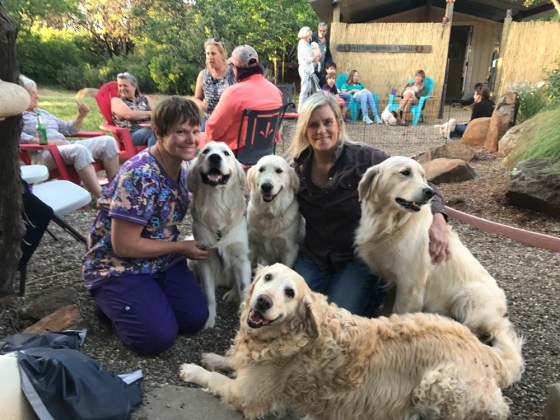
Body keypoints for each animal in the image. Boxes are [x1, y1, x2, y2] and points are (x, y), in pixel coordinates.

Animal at [180, 263, 518, 420]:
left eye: (290, 293)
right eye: (267, 278)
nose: (262, 302)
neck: (288, 336)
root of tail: (486, 352)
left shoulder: (249, 396)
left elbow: (215, 380)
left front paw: (192, 370)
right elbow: (230, 360)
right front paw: (213, 357)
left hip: (440, 381)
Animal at [186, 141, 252, 328]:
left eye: (226, 153)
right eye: (205, 151)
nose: (214, 157)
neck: (217, 204)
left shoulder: (241, 257)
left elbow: (244, 288)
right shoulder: (204, 258)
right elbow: (208, 293)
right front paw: (209, 318)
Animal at [355, 156, 524, 382]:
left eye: (424, 176)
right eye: (405, 172)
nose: (430, 192)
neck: (392, 223)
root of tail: (501, 313)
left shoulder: (411, 285)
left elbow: (399, 313)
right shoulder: (392, 280)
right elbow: (387, 309)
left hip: (470, 297)